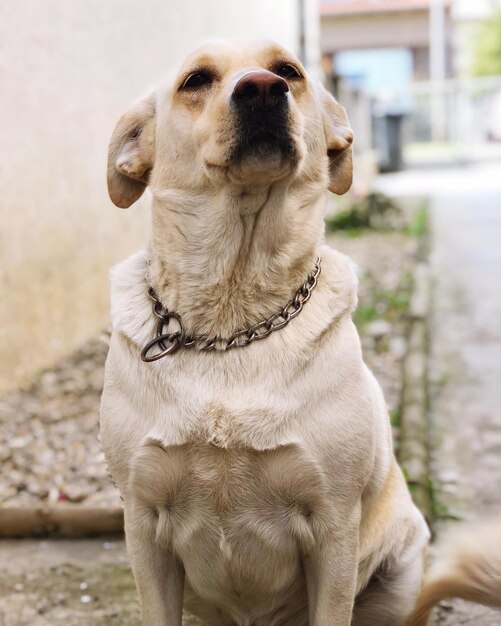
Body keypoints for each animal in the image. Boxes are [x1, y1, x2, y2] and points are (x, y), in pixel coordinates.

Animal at [99, 41, 498, 620]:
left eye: (289, 70)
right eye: (195, 80)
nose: (264, 89)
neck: (231, 320)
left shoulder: (333, 527)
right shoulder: (144, 529)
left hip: (402, 565)